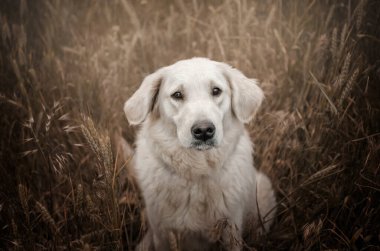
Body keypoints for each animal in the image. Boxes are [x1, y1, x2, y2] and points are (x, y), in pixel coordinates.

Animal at [124, 57, 276, 250]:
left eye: (216, 91)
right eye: (177, 95)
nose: (204, 131)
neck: (197, 170)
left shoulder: (231, 227)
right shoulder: (162, 231)